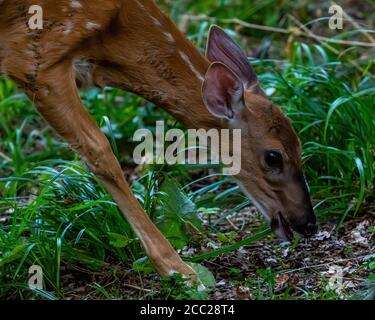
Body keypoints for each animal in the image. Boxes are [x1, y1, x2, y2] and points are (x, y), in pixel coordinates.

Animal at [0, 0, 318, 278]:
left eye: (300, 146)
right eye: (273, 156)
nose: (310, 224)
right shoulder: (32, 58)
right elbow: (100, 152)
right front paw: (179, 269)